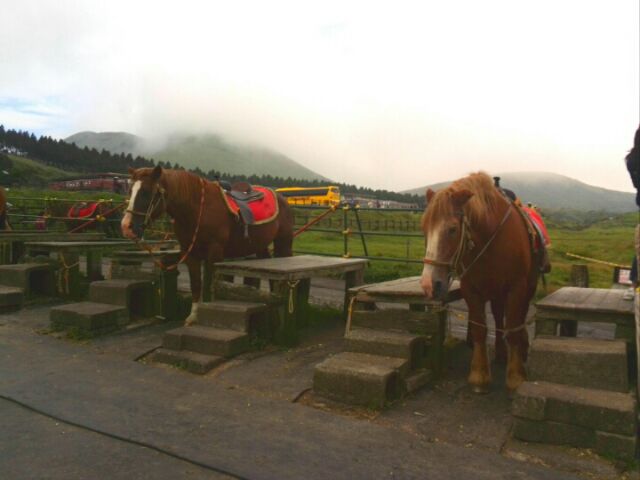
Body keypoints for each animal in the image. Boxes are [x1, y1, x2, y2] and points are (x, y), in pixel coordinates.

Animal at [120, 166, 296, 326]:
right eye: (130, 191)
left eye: (146, 192)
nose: (126, 227)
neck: (198, 208)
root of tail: (282, 198)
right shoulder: (190, 254)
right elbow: (196, 284)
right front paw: (193, 316)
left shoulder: (214, 252)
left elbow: (209, 285)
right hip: (260, 246)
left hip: (283, 243)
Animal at [422, 172, 536, 394]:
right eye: (424, 229)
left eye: (452, 229)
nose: (429, 285)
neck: (491, 238)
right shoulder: (471, 289)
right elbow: (480, 329)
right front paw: (479, 375)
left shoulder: (516, 288)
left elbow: (513, 328)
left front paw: (516, 376)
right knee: (498, 316)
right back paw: (500, 353)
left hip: (528, 287)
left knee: (519, 318)